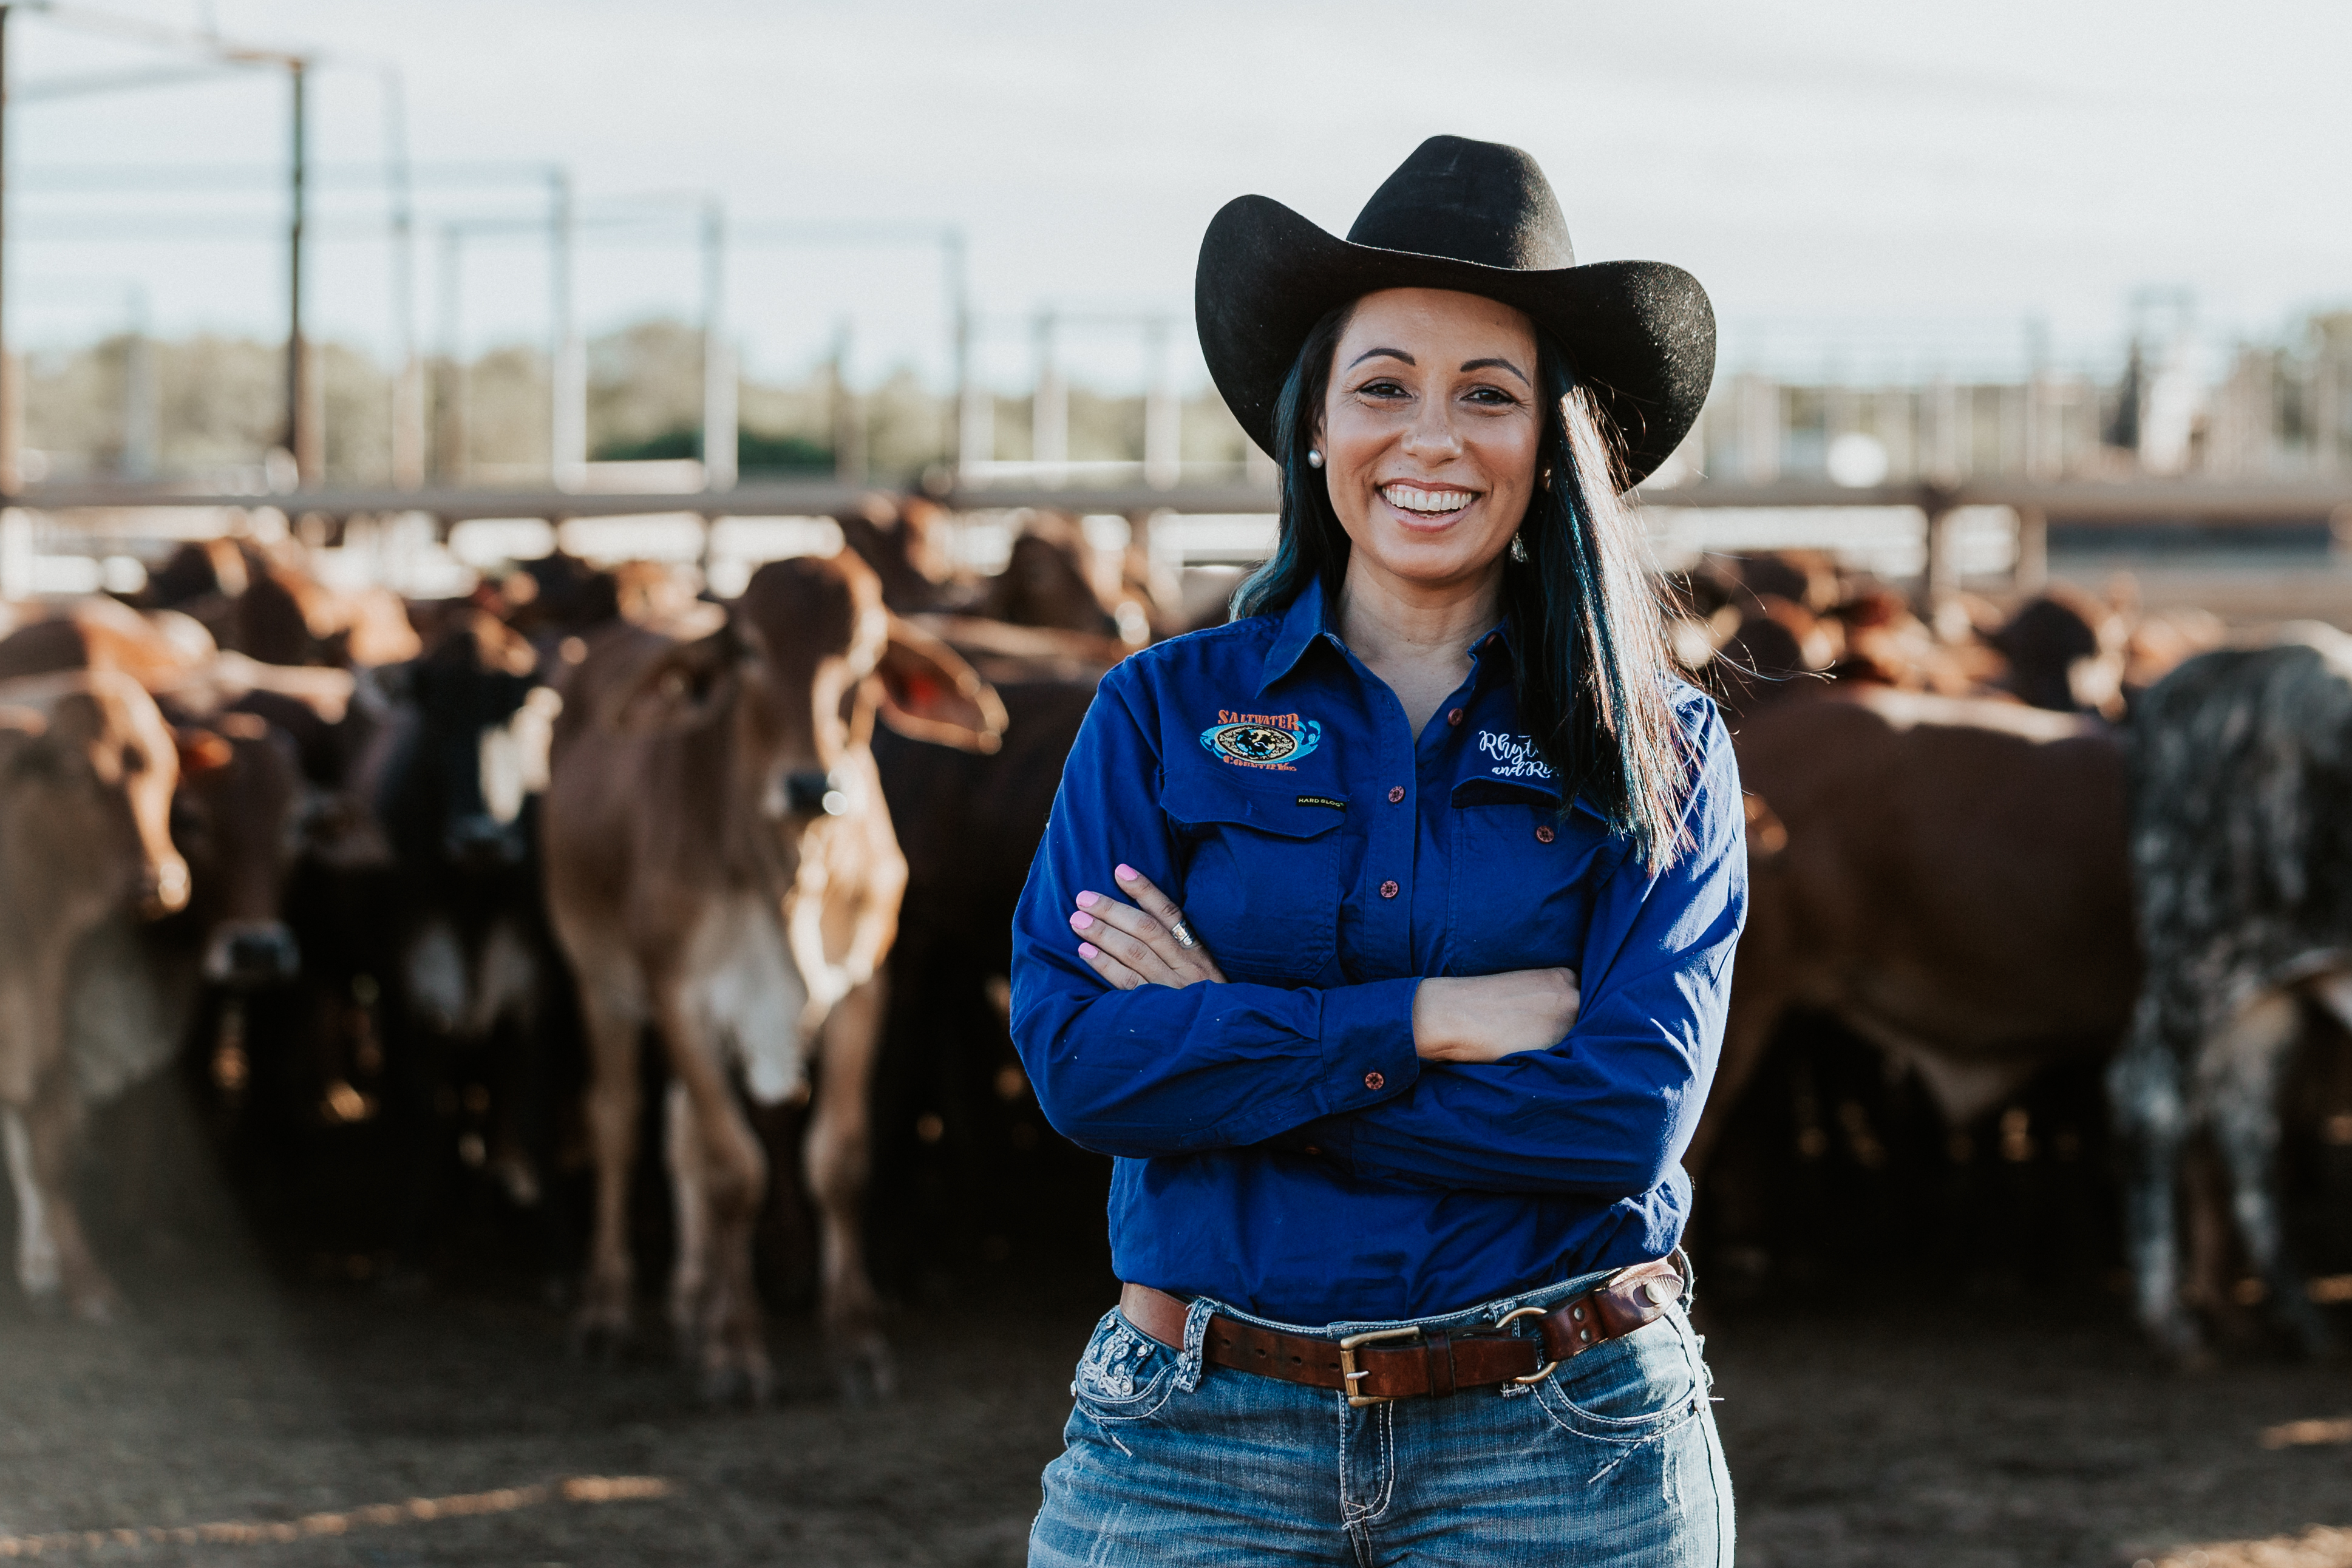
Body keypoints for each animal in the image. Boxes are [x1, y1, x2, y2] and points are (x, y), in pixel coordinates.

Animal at [0, 667, 188, 1316]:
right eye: (77, 773)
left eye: (165, 765)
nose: (158, 883)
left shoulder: (47, 1028)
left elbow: (53, 1149)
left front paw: (78, 1278)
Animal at [541, 552, 1002, 1401]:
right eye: (749, 650)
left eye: (865, 655)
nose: (810, 786)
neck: (787, 866)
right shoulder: (681, 997)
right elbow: (734, 1173)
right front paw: (735, 1351)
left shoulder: (861, 988)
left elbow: (838, 1162)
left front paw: (855, 1341)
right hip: (601, 982)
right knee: (619, 1125)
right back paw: (610, 1311)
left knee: (679, 1133)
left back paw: (692, 1301)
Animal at [2116, 625, 2352, 1363]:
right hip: (2195, 957)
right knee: (2150, 1098)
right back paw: (2169, 1323)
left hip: (2267, 1000)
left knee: (2245, 1129)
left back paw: (2301, 1319)